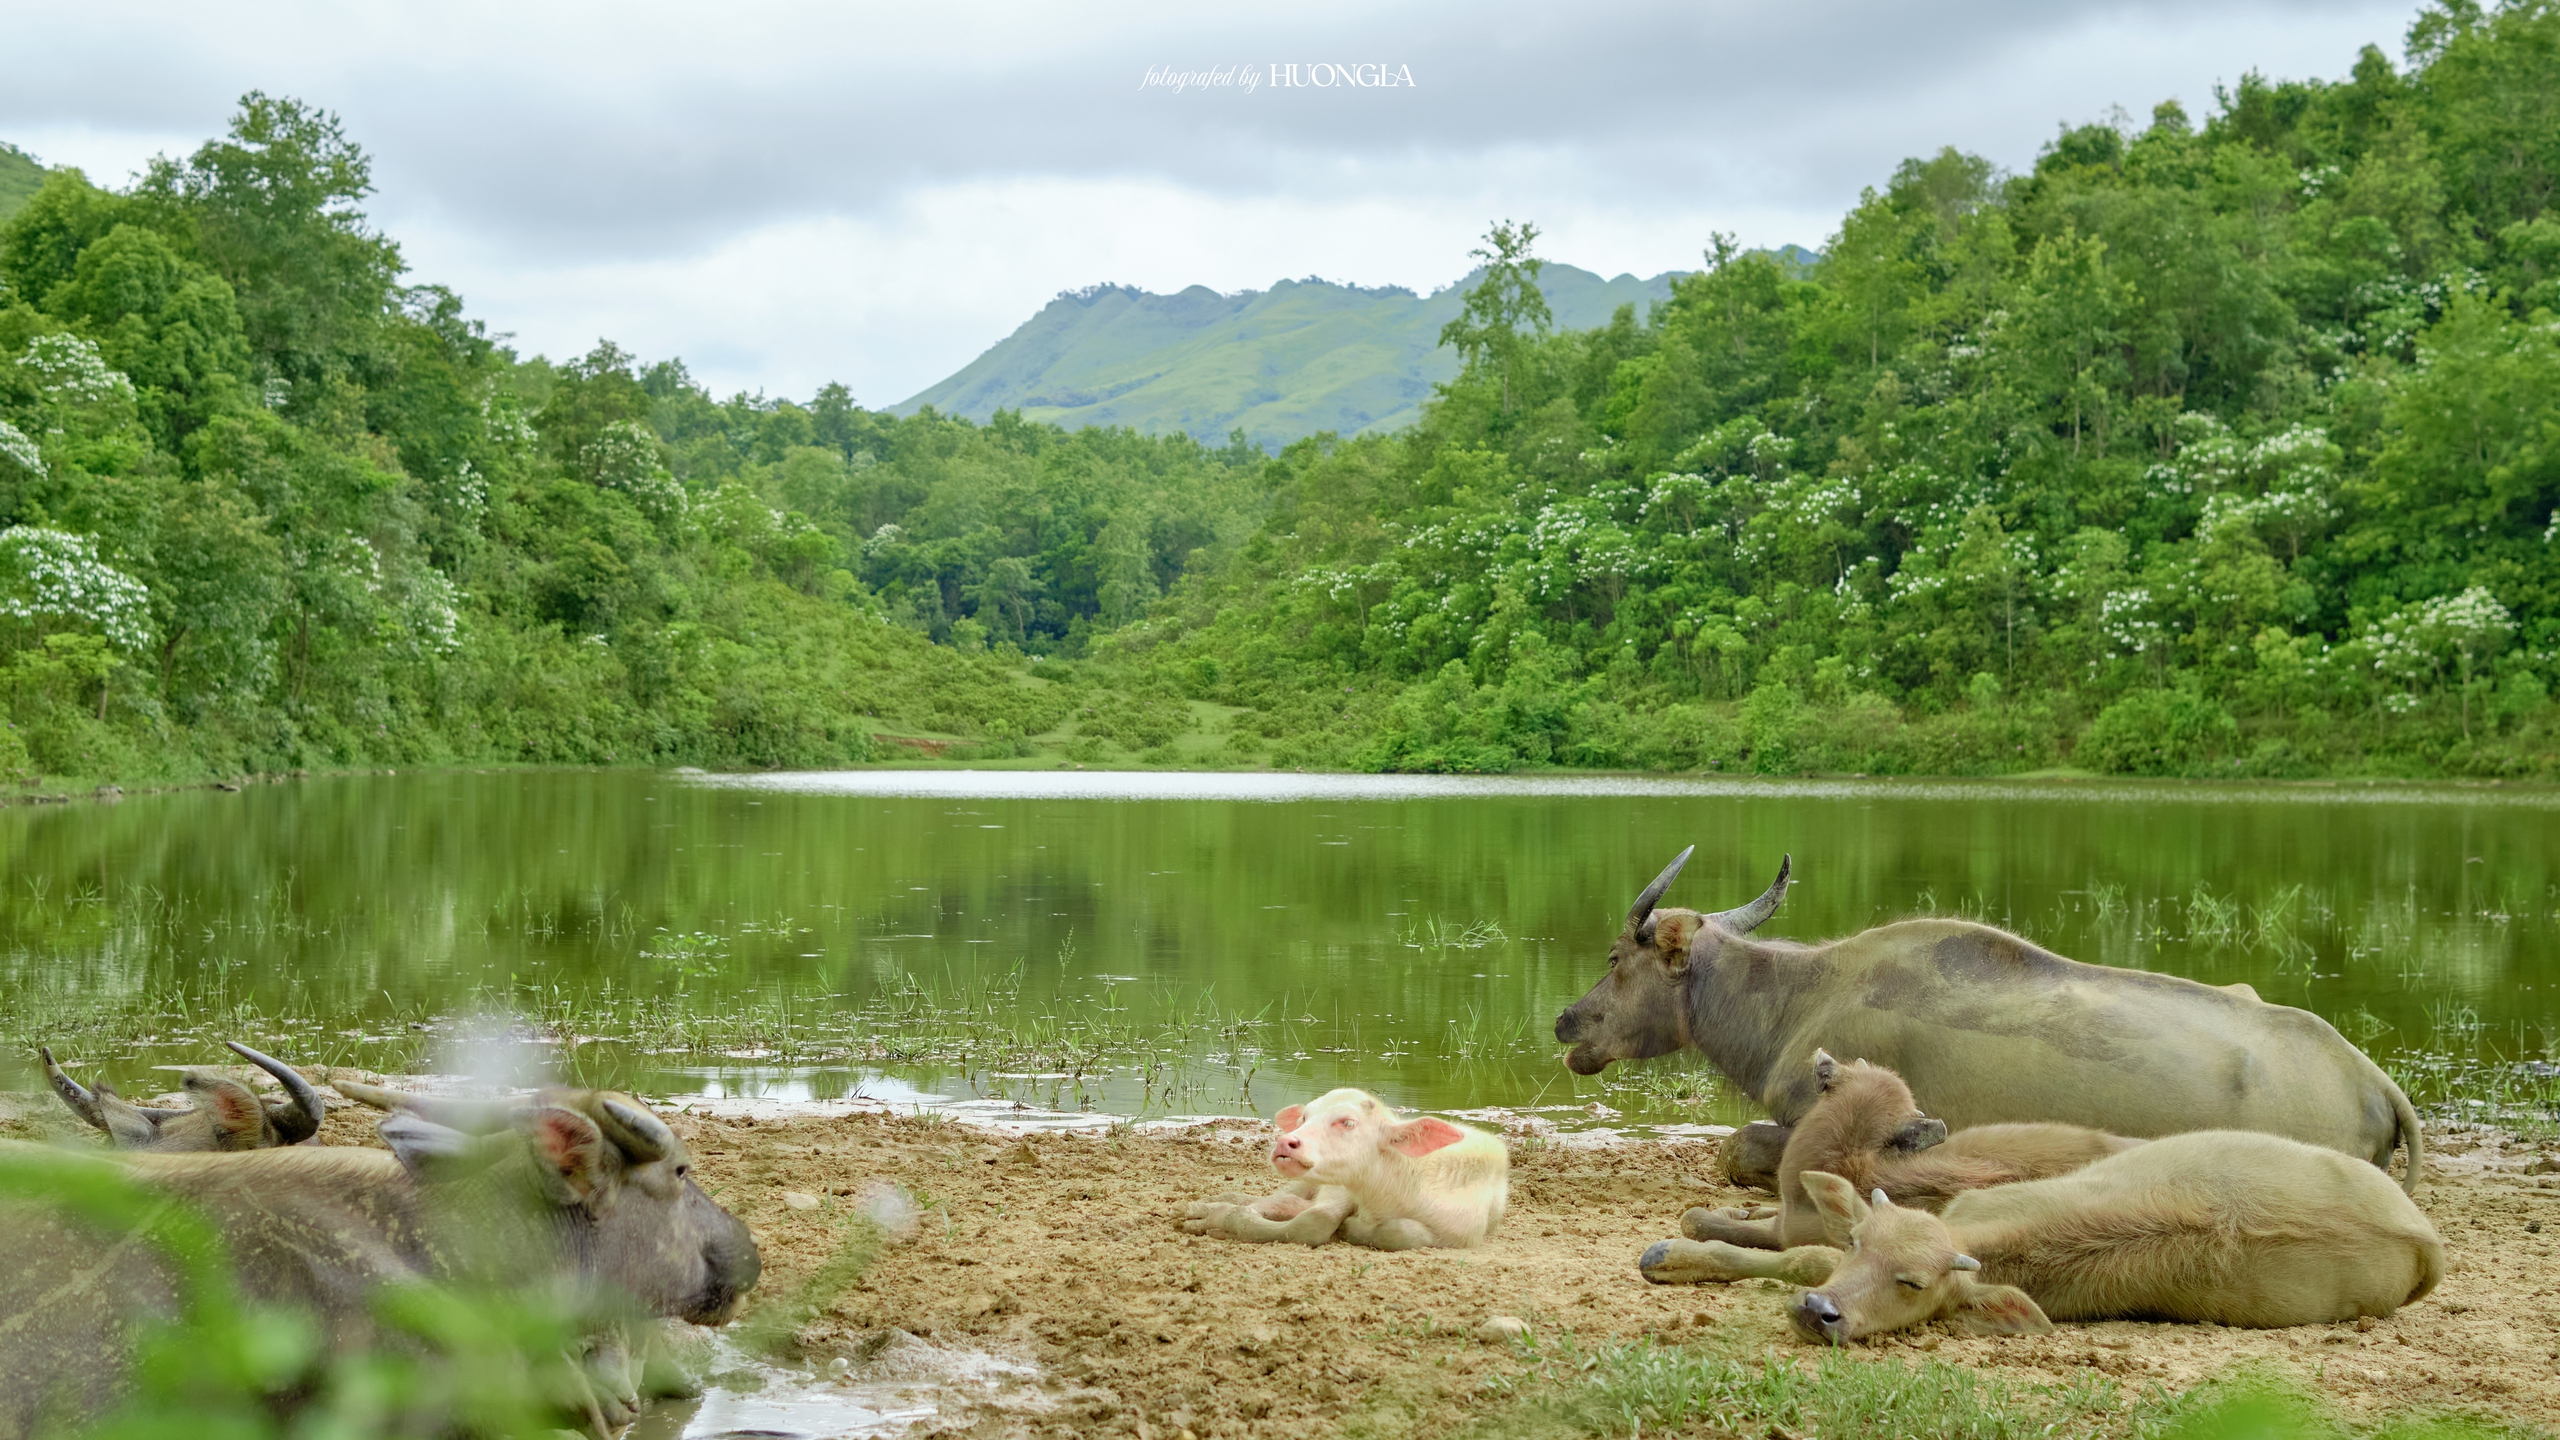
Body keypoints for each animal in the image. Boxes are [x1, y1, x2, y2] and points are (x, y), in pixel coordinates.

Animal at [1172, 1086, 1505, 1245]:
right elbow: (1314, 1222)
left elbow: (1403, 1232)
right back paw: (1197, 1208)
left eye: (1347, 1122)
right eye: (1304, 1117)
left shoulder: (1464, 1233)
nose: (1285, 1143)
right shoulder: (1340, 1192)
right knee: (1278, 1199)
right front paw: (1218, 1216)